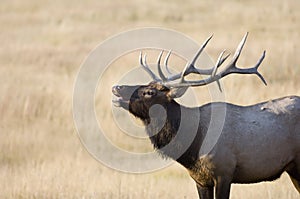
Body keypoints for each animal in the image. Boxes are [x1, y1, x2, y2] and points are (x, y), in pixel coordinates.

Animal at [111, 33, 298, 198]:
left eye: (150, 92)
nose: (116, 87)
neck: (193, 149)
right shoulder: (200, 179)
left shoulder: (225, 172)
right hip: (292, 169)